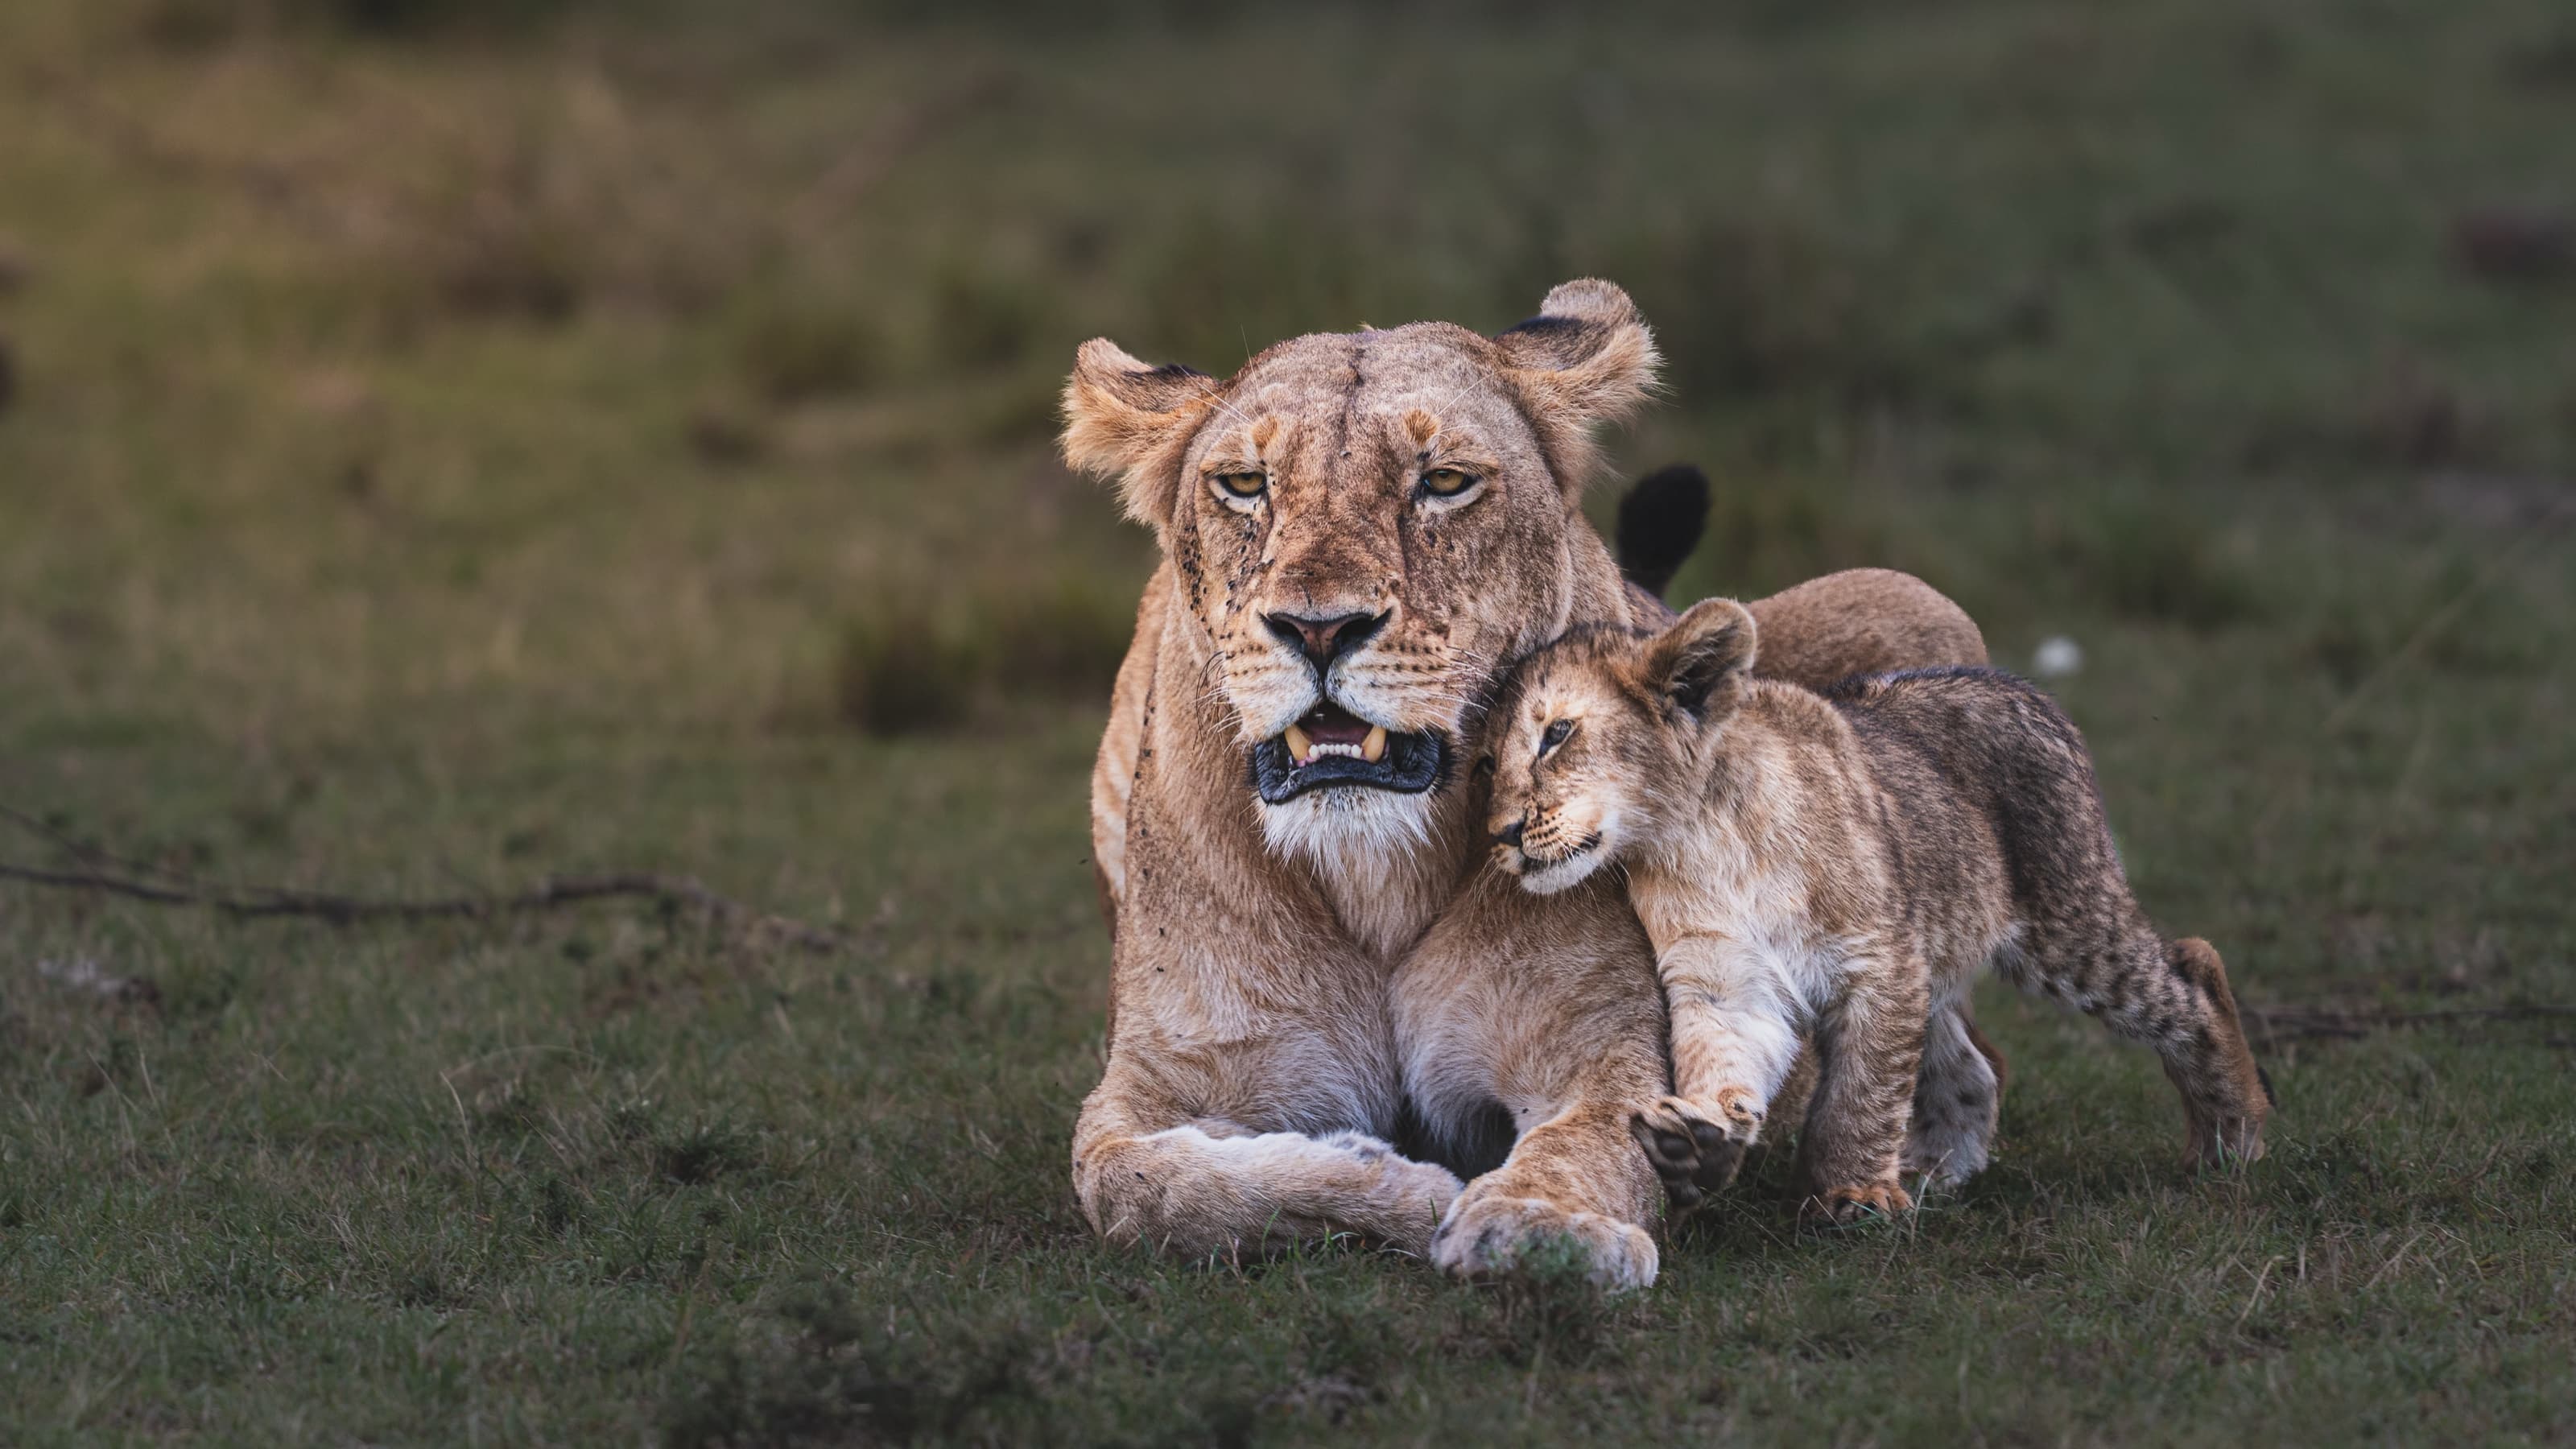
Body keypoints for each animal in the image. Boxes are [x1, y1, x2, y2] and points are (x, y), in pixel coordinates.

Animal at [1061, 279, 1989, 1287]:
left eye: (1442, 483)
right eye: (1243, 485)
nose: (1318, 629)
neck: (1373, 875)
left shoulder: (1600, 1050)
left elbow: (1587, 1144)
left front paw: (1535, 1224)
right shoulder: (1149, 1086)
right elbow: (1142, 1190)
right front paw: (1392, 1180)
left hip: (1903, 599)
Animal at [1482, 600, 2271, 1223]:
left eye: (1557, 734)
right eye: (1488, 764)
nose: (1501, 835)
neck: (1697, 835)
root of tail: (2022, 687)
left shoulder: (1879, 961)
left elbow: (1862, 1093)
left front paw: (1852, 1194)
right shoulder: (1728, 977)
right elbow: (1726, 1058)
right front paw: (1697, 1143)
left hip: (2067, 924)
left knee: (2192, 970)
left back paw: (2232, 1137)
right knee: (1971, 1066)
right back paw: (1935, 1175)